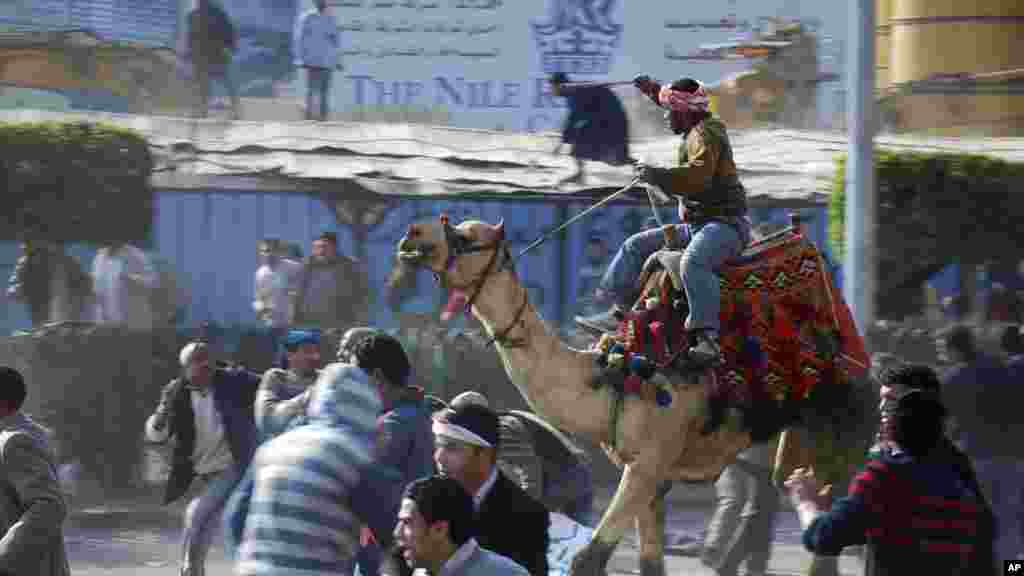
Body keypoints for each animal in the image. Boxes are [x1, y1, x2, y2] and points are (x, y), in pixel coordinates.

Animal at [395, 216, 876, 573]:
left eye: (465, 237)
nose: (411, 235)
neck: (610, 378)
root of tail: (868, 370)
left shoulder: (647, 463)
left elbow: (589, 560)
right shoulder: (650, 472)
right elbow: (650, 564)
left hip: (837, 437)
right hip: (791, 450)